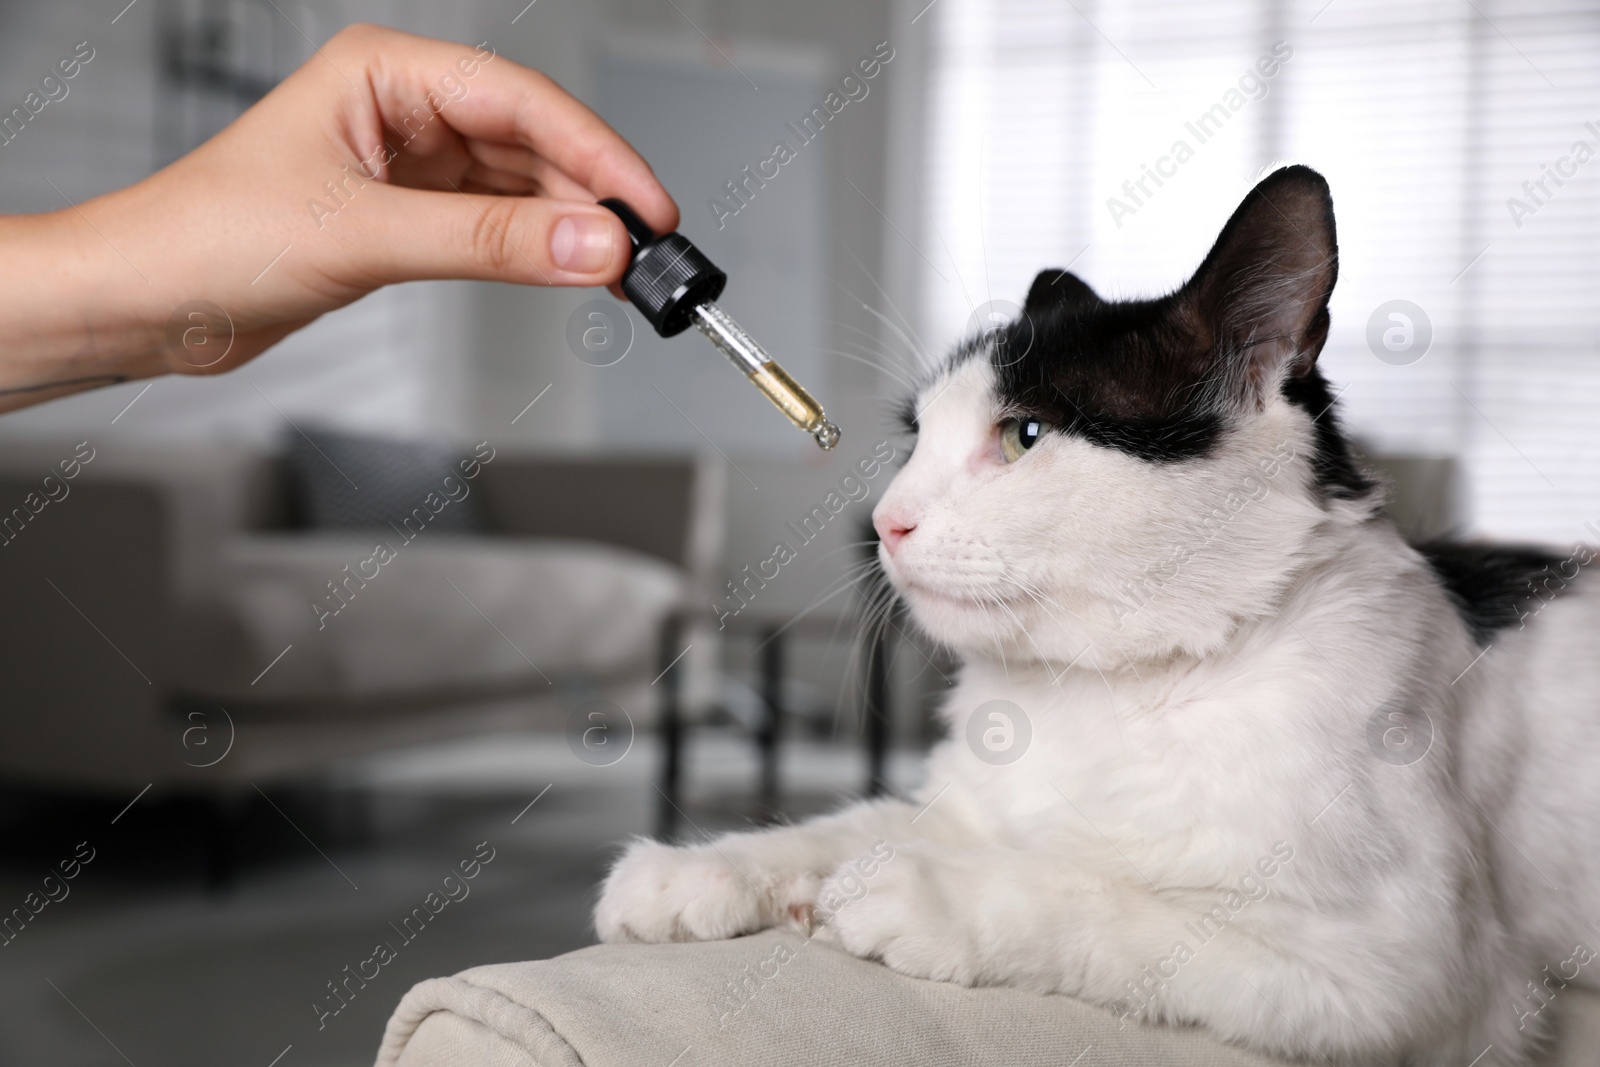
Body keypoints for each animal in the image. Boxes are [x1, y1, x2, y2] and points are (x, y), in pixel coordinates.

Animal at [592, 167, 1600, 1067]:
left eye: (1024, 435)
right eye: (916, 438)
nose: (884, 520)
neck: (1095, 692)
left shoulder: (1410, 978)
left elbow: (1108, 899)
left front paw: (920, 890)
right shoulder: (962, 804)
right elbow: (855, 817)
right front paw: (703, 867)